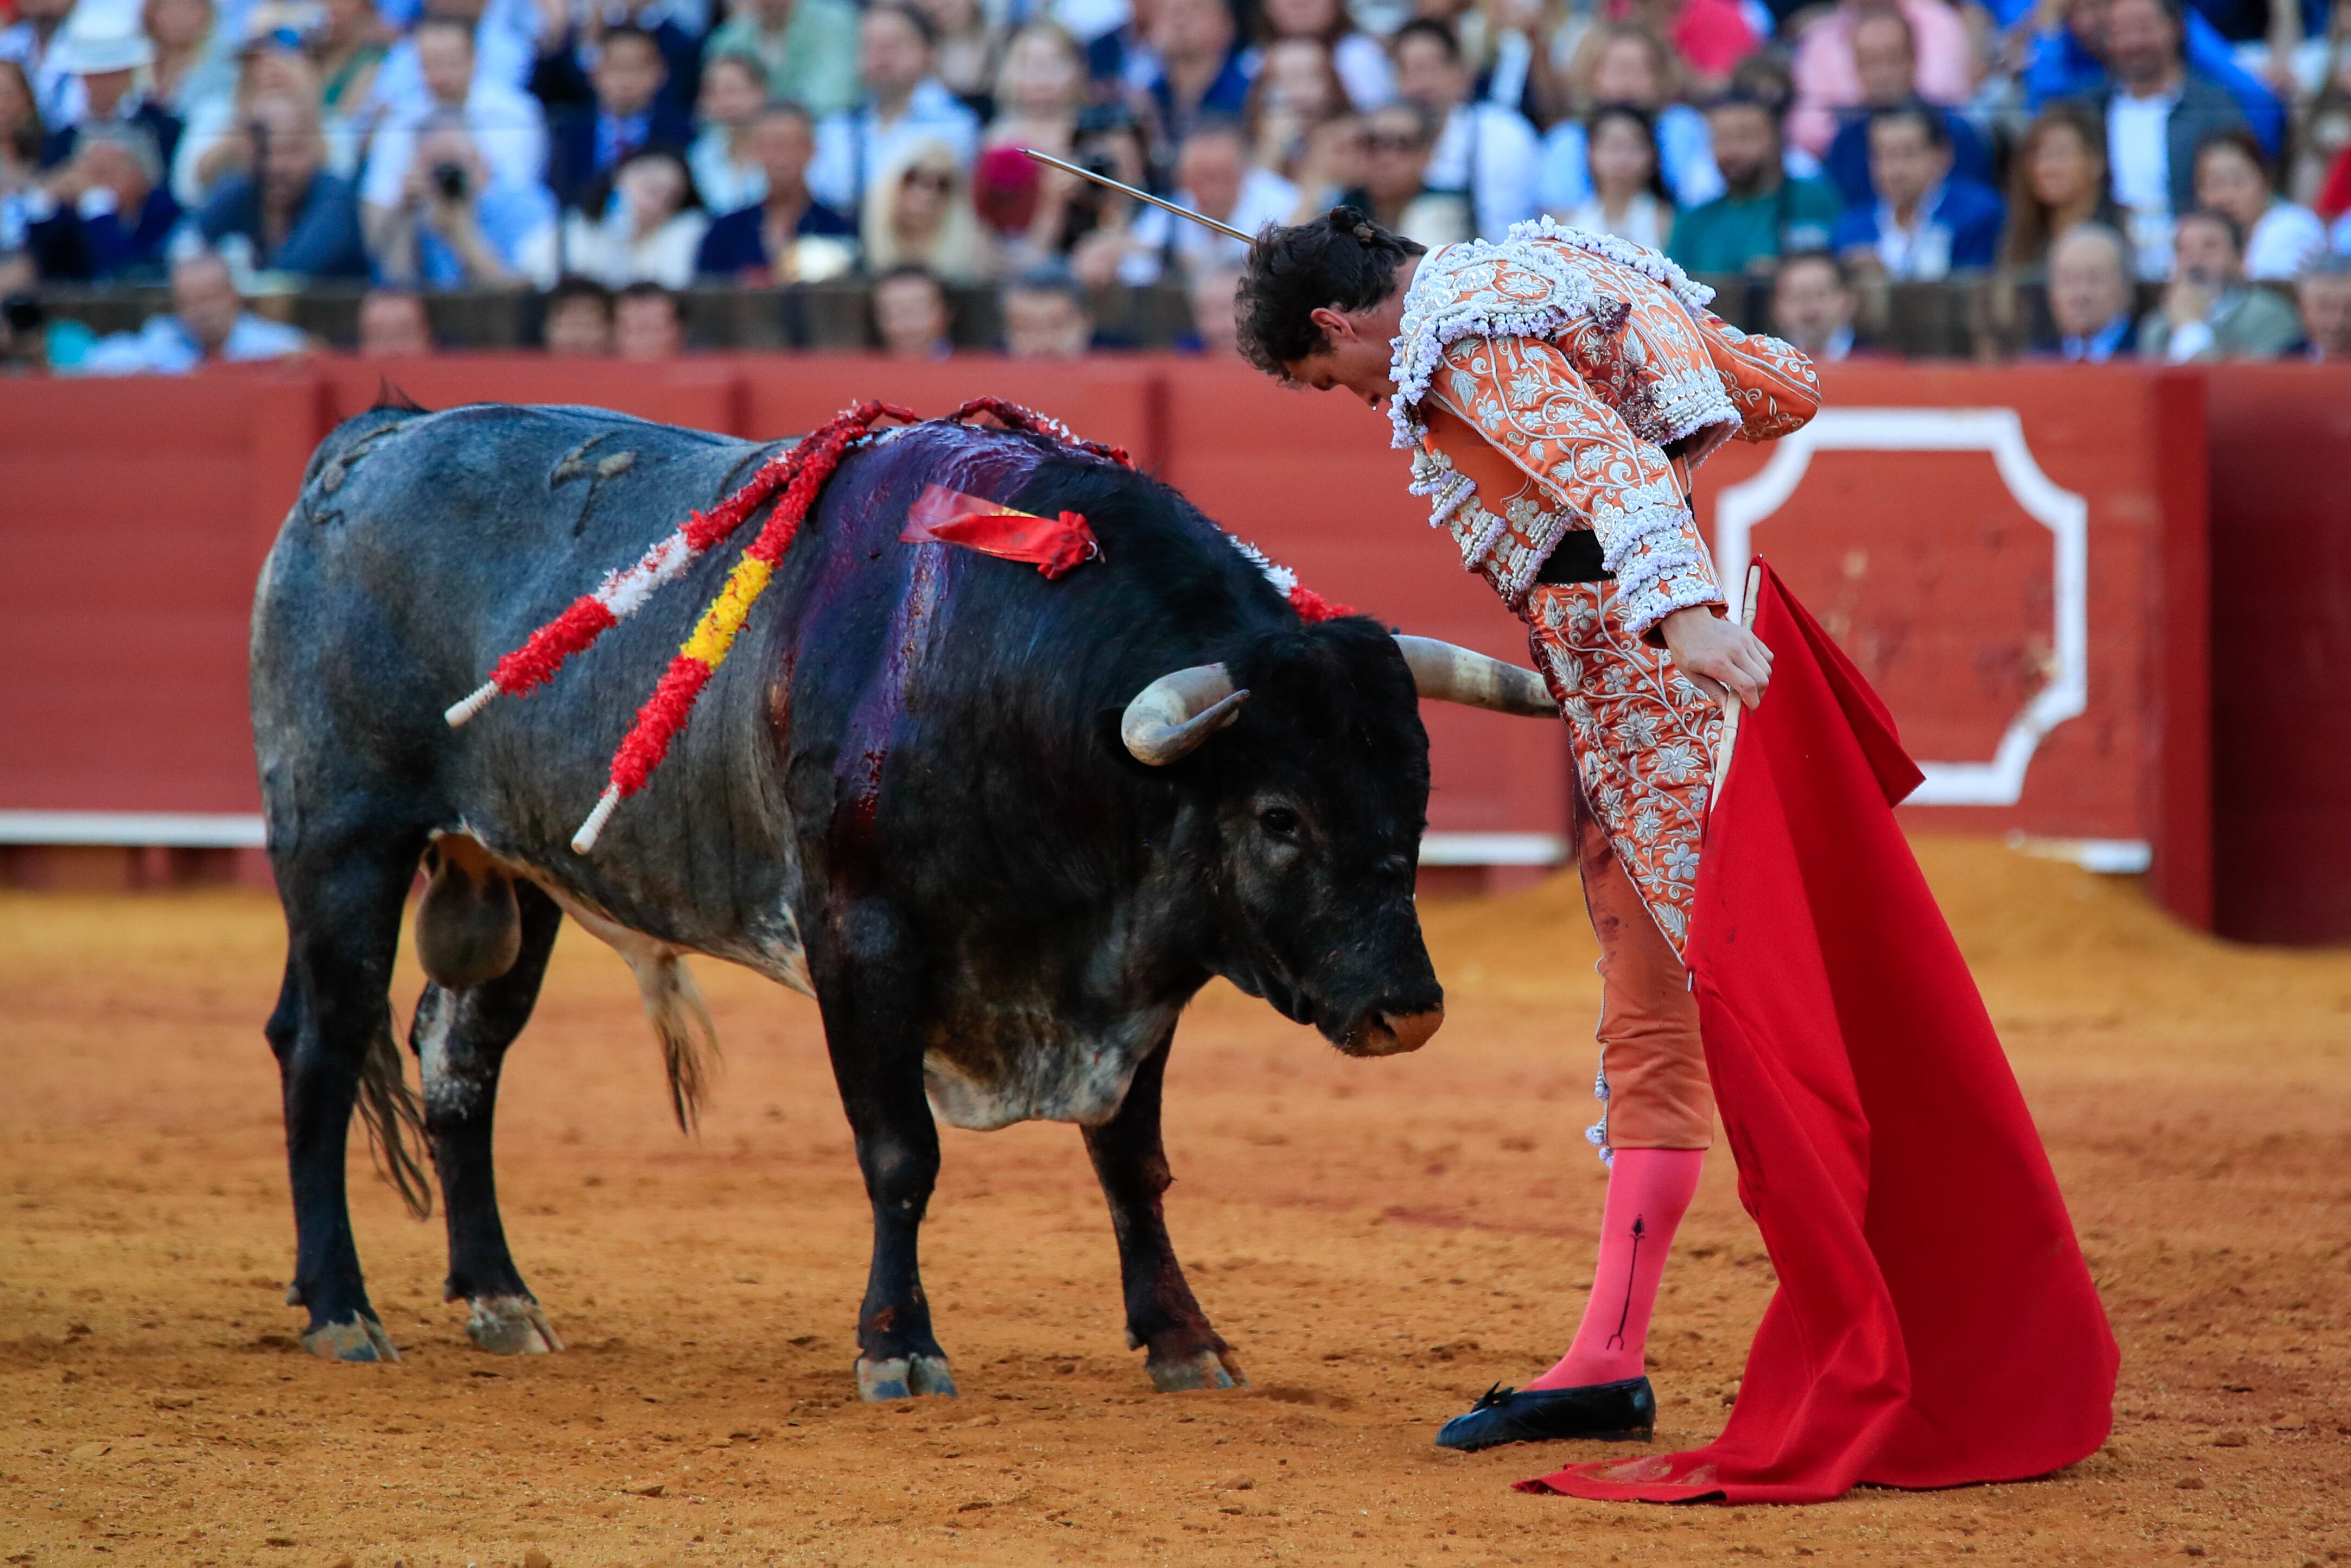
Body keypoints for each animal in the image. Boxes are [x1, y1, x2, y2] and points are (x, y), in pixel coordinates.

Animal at [248, 402, 1552, 1401]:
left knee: (460, 1055)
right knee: (324, 1044)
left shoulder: (1135, 983)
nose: (1406, 1008)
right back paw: (342, 1309)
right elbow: (900, 1152)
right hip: (344, 842)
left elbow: (1132, 1160)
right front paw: (899, 1346)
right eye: (1280, 816)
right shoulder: (862, 945)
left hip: (513, 875)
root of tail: (372, 442)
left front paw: (1185, 1341)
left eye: (1415, 794)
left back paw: (503, 1298)